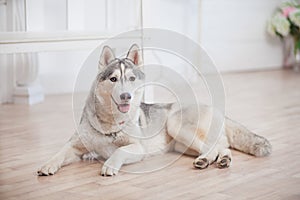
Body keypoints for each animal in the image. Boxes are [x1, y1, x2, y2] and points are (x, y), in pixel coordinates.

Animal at [37, 44, 272, 176]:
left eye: (131, 79)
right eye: (113, 79)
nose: (126, 96)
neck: (110, 125)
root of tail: (217, 109)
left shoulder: (137, 148)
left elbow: (120, 151)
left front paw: (110, 165)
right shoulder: (75, 146)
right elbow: (59, 153)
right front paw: (47, 165)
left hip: (176, 125)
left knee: (215, 148)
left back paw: (210, 160)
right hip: (182, 145)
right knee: (221, 148)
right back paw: (218, 160)